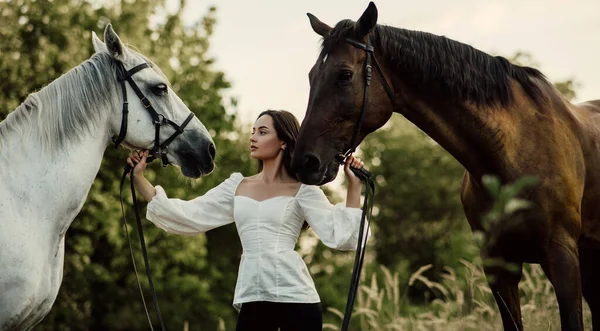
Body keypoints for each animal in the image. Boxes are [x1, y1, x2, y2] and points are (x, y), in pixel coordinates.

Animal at [292, 1, 600, 330]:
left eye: (345, 75)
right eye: (311, 75)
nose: (304, 162)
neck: (515, 152)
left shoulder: (562, 257)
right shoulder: (498, 267)